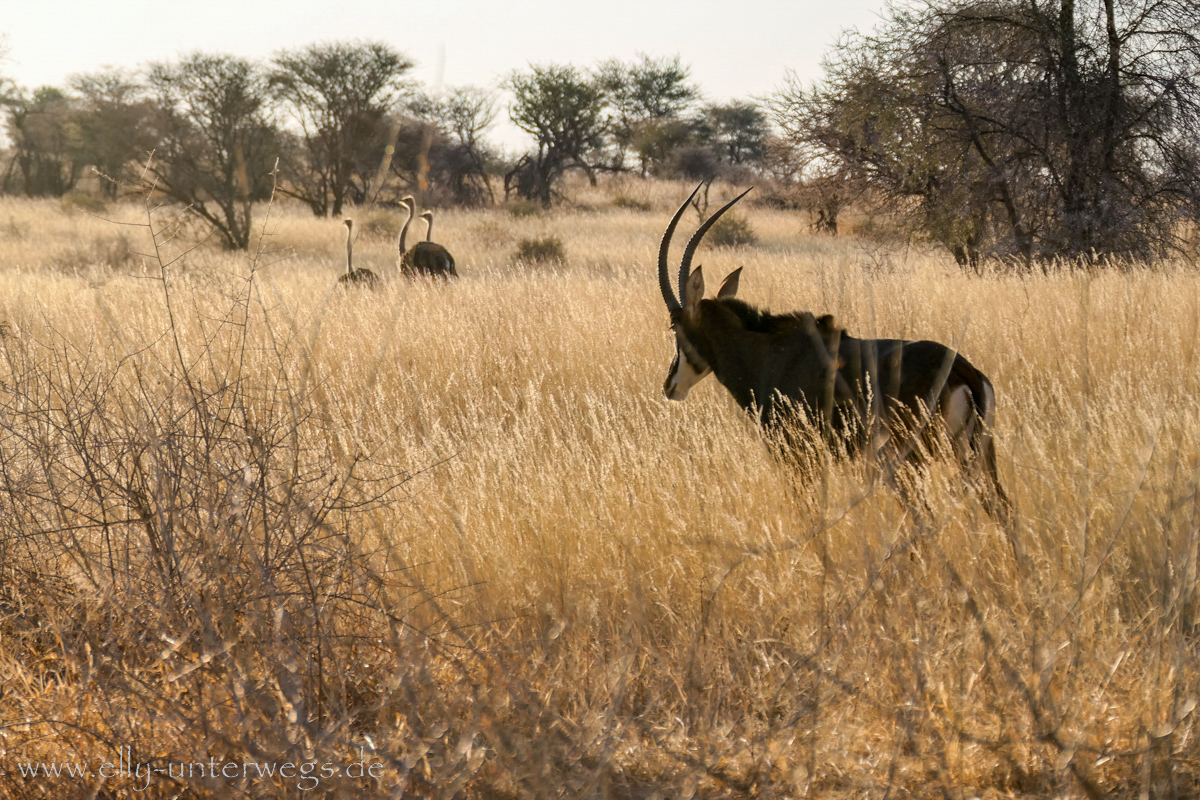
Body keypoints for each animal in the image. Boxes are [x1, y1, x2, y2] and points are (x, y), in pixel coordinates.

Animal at [662, 184, 1008, 515]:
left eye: (673, 327)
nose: (669, 386)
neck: (766, 352)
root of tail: (963, 368)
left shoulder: (796, 454)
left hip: (912, 457)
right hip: (978, 454)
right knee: (1002, 508)